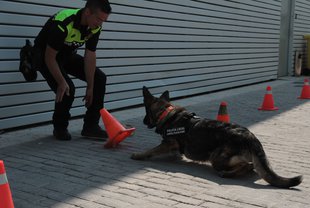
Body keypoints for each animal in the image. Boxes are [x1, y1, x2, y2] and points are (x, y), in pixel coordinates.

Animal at [131, 86, 302, 188]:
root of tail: (250, 136)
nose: (143, 121)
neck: (166, 113)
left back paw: (227, 174)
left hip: (216, 157)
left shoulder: (168, 145)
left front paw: (139, 155)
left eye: (146, 112)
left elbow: (151, 150)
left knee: (247, 165)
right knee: (252, 166)